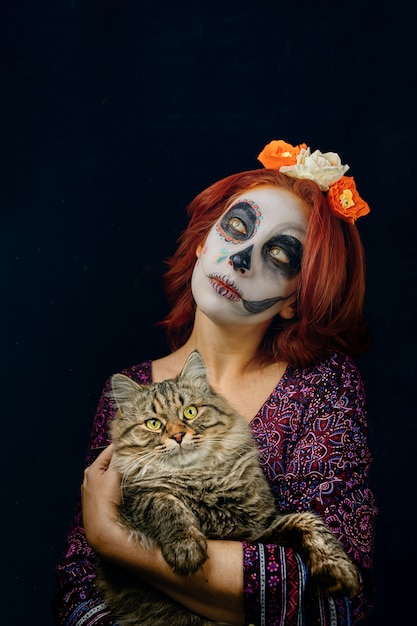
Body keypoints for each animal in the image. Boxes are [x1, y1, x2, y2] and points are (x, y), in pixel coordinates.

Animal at [97, 352, 358, 624]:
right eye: (153, 424)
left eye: (190, 412)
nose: (178, 436)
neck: (200, 478)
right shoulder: (134, 502)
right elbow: (165, 502)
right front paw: (187, 547)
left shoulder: (256, 533)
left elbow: (309, 521)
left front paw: (340, 571)